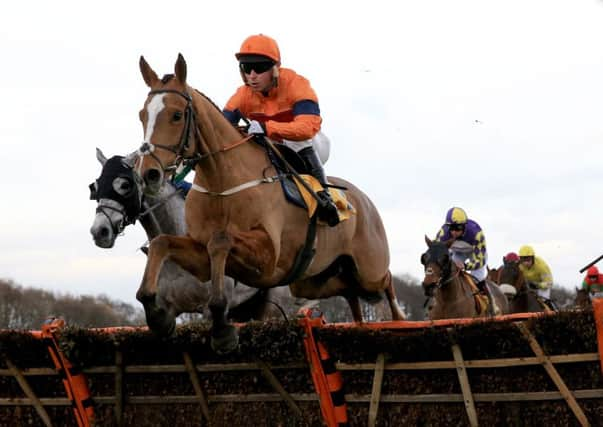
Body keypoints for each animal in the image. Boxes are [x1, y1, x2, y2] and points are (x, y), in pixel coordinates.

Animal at [133, 55, 406, 352]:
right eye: (142, 115)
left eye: (176, 115)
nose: (148, 174)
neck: (222, 182)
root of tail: (364, 201)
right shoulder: (201, 258)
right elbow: (162, 243)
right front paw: (158, 316)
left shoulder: (268, 258)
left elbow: (221, 241)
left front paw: (222, 328)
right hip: (313, 280)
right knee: (348, 290)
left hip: (370, 270)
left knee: (387, 281)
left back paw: (400, 319)